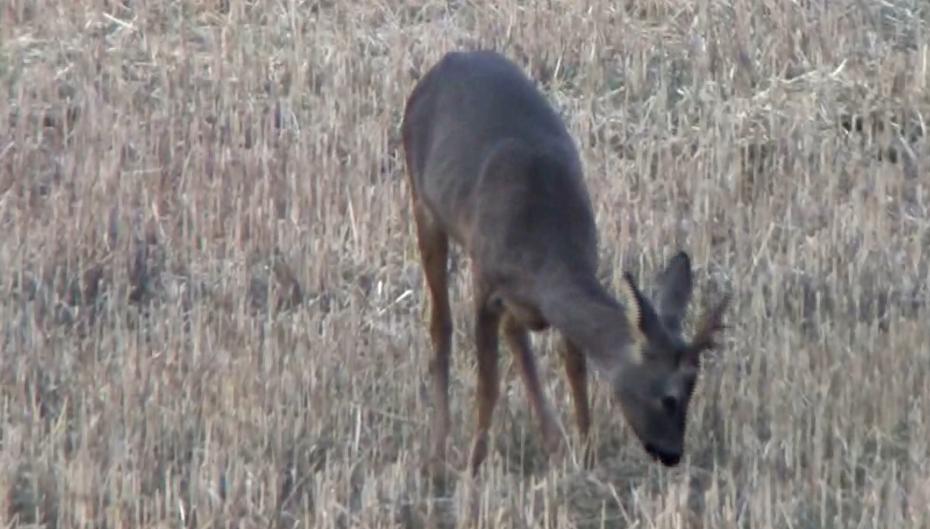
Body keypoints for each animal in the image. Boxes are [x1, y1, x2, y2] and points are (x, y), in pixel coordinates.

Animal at [396, 50, 724, 482]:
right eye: (668, 397)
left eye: (693, 389)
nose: (671, 453)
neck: (547, 255)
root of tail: (446, 62)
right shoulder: (485, 278)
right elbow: (489, 382)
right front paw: (474, 464)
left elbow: (576, 368)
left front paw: (585, 453)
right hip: (423, 201)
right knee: (441, 323)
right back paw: (437, 452)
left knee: (514, 331)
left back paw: (552, 440)